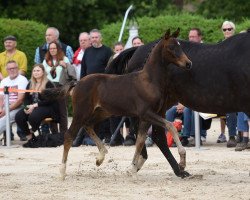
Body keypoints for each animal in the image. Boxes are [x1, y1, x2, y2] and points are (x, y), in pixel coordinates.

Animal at [42, 28, 191, 180]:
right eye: (171, 47)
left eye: (179, 46)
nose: (188, 63)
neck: (149, 80)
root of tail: (77, 83)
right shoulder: (146, 113)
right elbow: (170, 126)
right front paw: (182, 161)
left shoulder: (146, 117)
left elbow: (140, 141)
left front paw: (132, 169)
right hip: (81, 113)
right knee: (69, 135)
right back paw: (62, 172)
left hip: (102, 112)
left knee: (88, 126)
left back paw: (100, 157)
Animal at [106, 29, 250, 177]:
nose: (188, 64)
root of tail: (137, 50)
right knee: (145, 131)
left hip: (161, 106)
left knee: (157, 135)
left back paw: (176, 169)